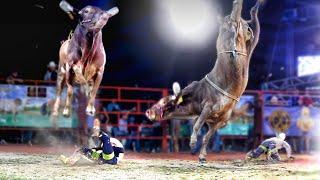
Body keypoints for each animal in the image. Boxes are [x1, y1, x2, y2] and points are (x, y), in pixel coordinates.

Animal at [147, 0, 262, 163]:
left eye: (163, 101)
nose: (148, 112)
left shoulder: (213, 113)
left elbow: (199, 128)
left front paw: (193, 144)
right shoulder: (212, 120)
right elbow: (205, 133)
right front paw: (201, 155)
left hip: (237, 28)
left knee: (237, 10)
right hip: (249, 40)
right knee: (250, 23)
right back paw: (254, 8)